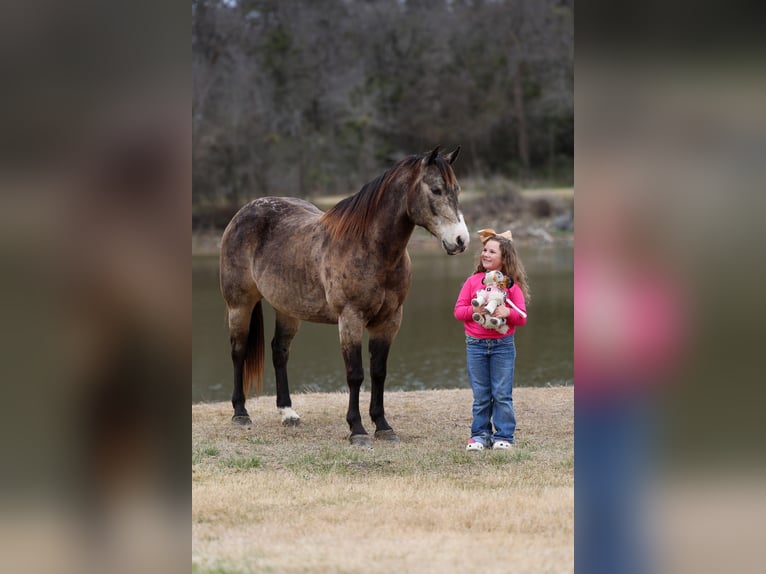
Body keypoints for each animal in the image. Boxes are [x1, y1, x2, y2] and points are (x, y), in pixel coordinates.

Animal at [219, 146, 469, 445]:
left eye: (457, 189)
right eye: (435, 189)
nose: (461, 240)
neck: (371, 248)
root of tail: (243, 212)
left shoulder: (389, 321)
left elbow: (379, 372)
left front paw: (383, 426)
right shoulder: (350, 318)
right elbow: (355, 375)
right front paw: (357, 429)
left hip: (287, 310)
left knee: (279, 352)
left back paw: (288, 413)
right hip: (239, 305)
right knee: (238, 351)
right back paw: (240, 413)